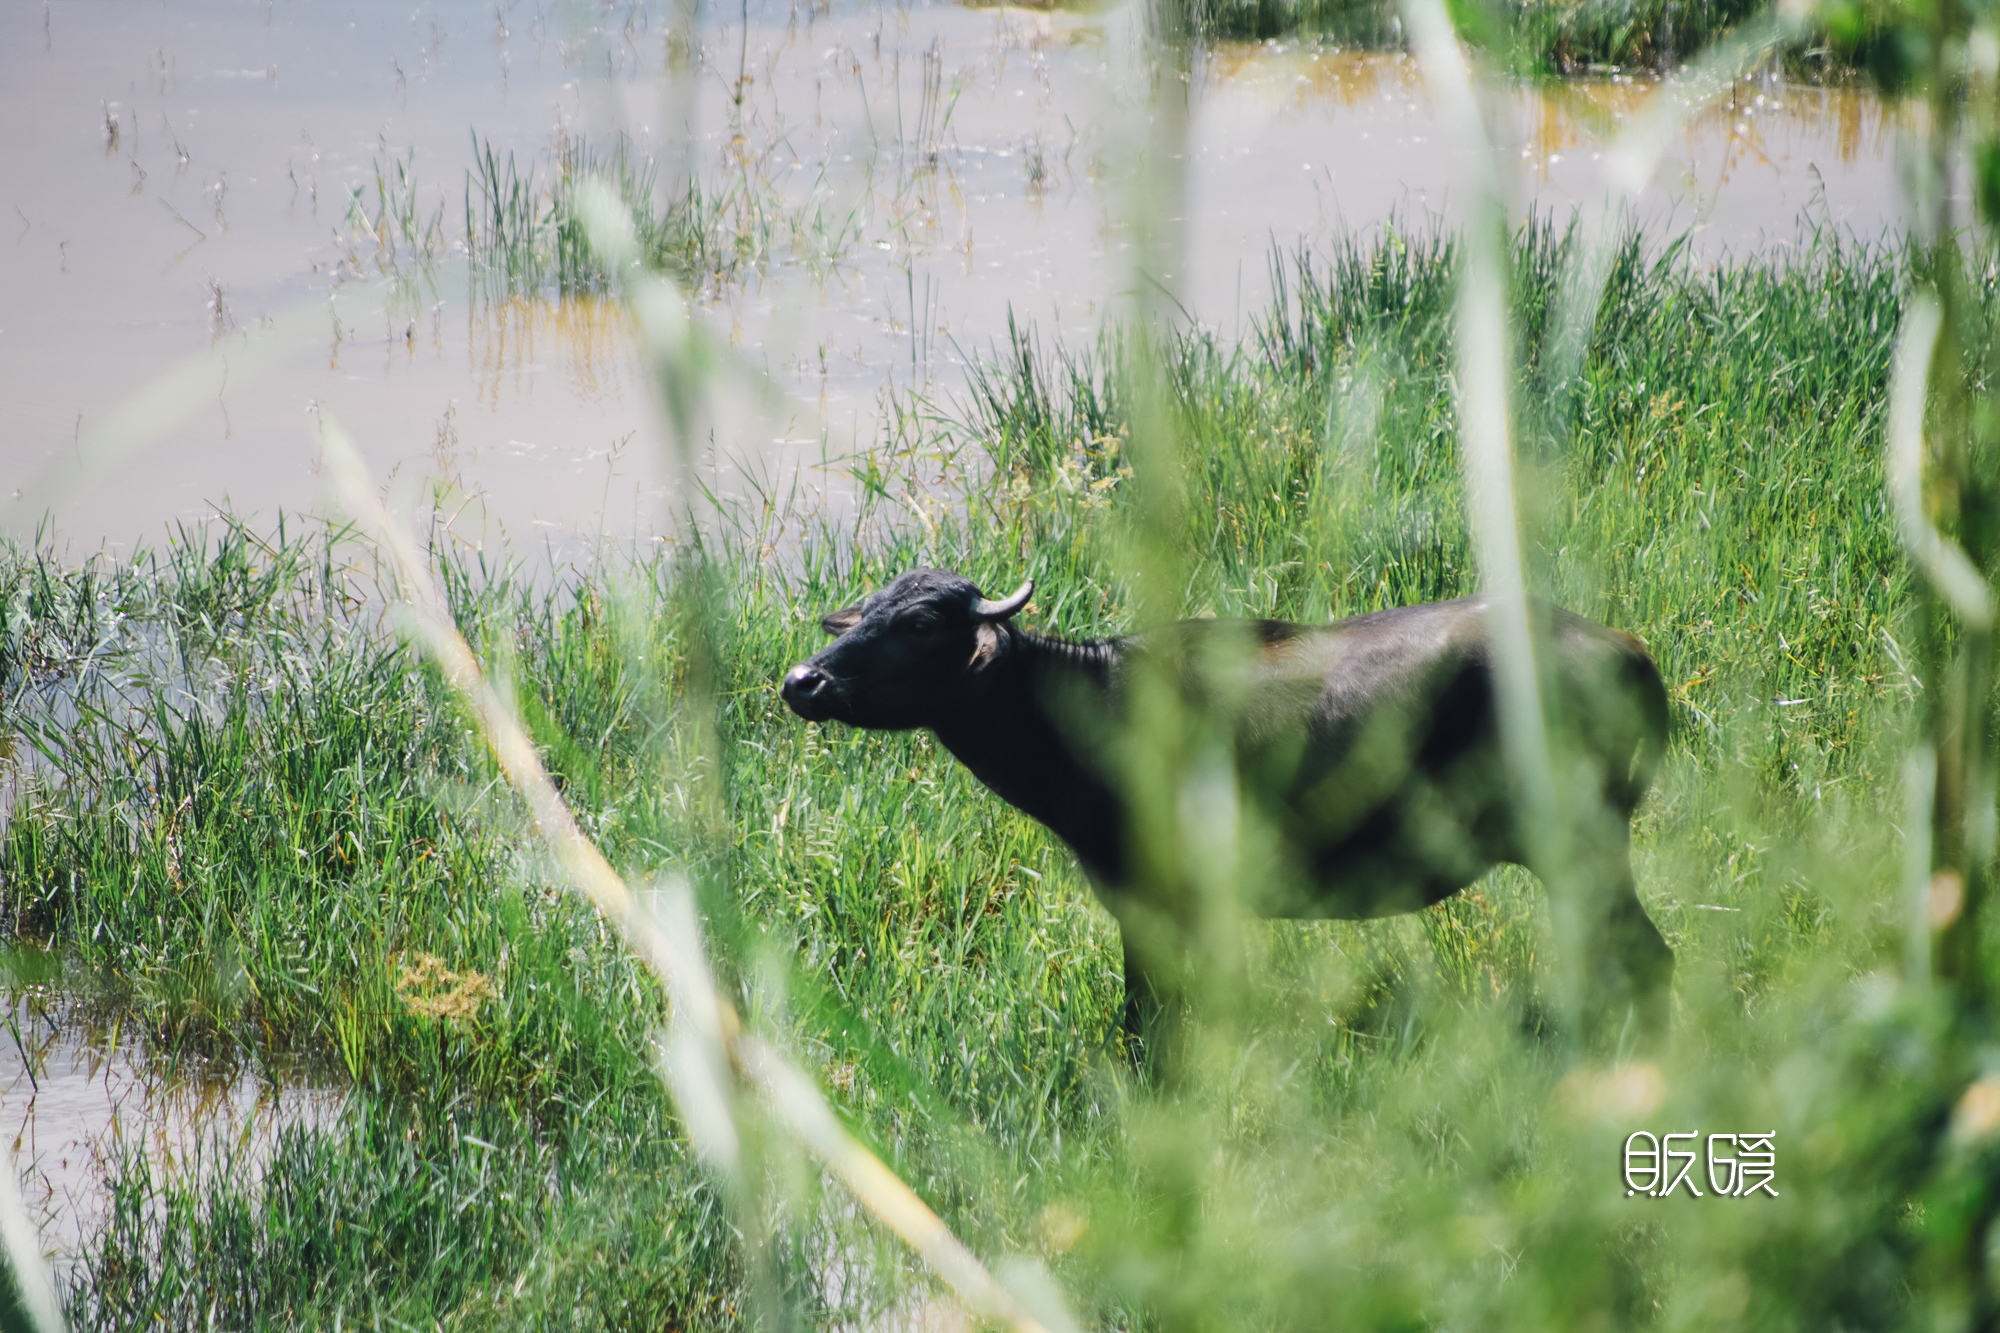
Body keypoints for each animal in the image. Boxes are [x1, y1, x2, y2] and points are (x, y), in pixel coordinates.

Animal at [780, 564, 1672, 1056]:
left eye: (922, 621)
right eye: (862, 611)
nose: (802, 680)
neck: (1090, 705)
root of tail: (1627, 650)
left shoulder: (1152, 898)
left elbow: (1145, 1013)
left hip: (1584, 846)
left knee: (1647, 957)